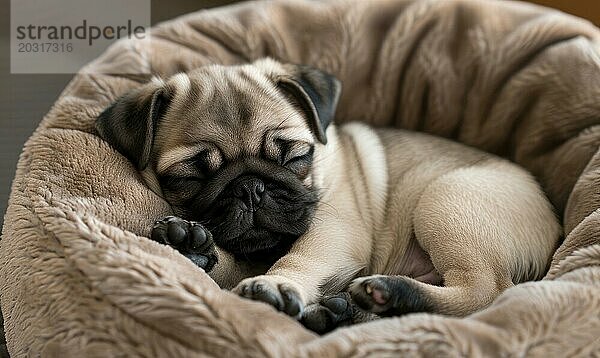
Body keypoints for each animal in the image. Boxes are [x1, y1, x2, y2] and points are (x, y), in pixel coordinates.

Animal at [95, 58, 564, 332]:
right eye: (190, 176)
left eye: (295, 156)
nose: (250, 187)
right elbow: (227, 261)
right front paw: (191, 244)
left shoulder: (333, 227)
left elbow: (300, 256)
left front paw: (274, 283)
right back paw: (338, 311)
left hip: (445, 200)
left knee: (483, 293)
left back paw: (388, 292)